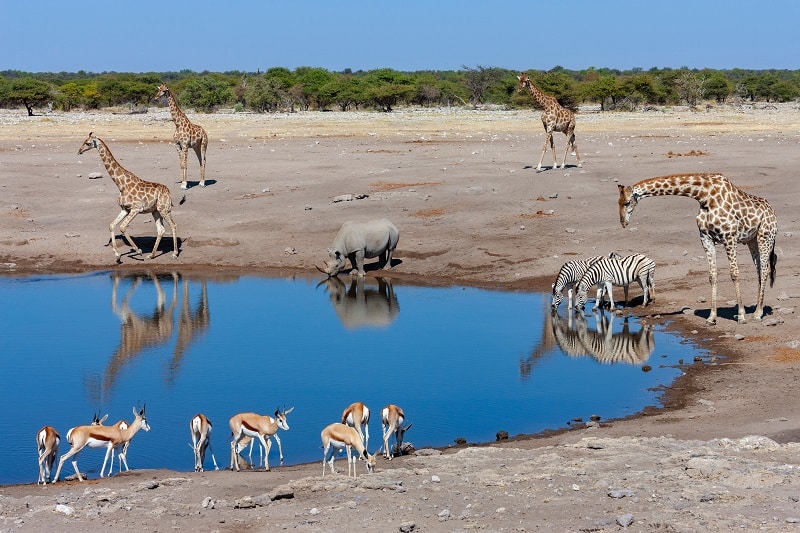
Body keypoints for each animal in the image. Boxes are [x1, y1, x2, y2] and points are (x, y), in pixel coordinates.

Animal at [77, 132, 178, 262]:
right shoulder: (125, 209)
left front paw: (138, 251)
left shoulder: (136, 208)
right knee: (161, 230)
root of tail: (169, 193)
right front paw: (117, 254)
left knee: (173, 225)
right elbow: (112, 225)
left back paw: (174, 253)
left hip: (164, 208)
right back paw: (152, 255)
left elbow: (122, 227)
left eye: (88, 143)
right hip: (155, 210)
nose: (79, 151)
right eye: (84, 141)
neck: (120, 184)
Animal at [616, 174, 780, 324]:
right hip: (752, 240)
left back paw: (758, 313)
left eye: (627, 202)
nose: (623, 223)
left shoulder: (729, 237)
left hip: (765, 236)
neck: (704, 196)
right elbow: (712, 276)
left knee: (765, 270)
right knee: (760, 270)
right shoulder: (706, 238)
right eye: (618, 202)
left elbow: (734, 274)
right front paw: (712, 317)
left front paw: (741, 315)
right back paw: (758, 309)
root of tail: (773, 212)